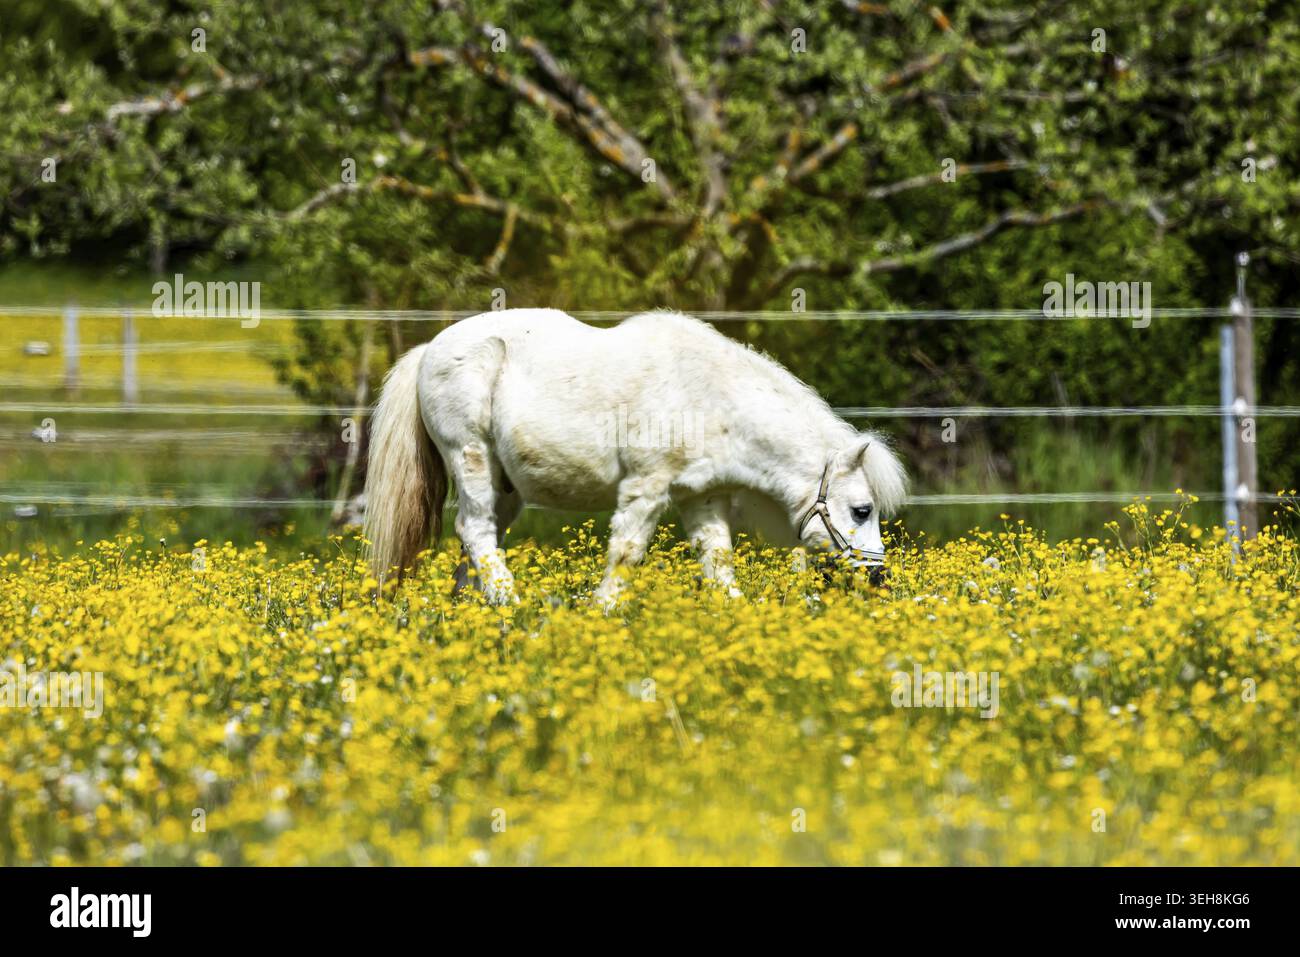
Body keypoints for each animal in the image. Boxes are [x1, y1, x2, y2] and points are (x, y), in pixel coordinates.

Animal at [364, 308, 907, 605]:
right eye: (862, 509)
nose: (878, 576)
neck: (709, 396)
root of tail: (429, 349)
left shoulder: (701, 498)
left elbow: (718, 565)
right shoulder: (645, 489)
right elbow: (626, 554)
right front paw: (602, 612)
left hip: (506, 487)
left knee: (476, 542)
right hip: (471, 457)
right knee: (475, 531)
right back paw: (510, 603)